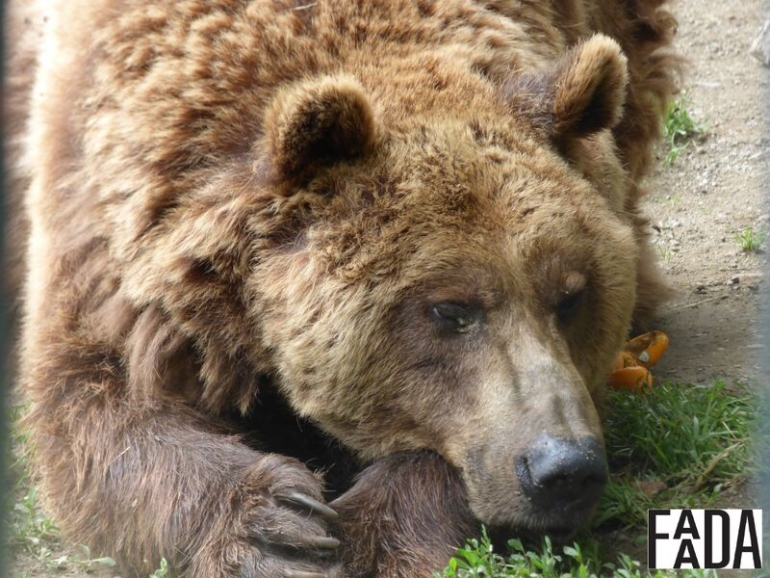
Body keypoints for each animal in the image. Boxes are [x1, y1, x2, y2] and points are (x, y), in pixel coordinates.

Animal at [9, 0, 676, 572]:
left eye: (572, 295)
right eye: (450, 309)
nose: (565, 468)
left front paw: (363, 539)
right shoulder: (116, 233)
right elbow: (96, 400)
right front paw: (276, 527)